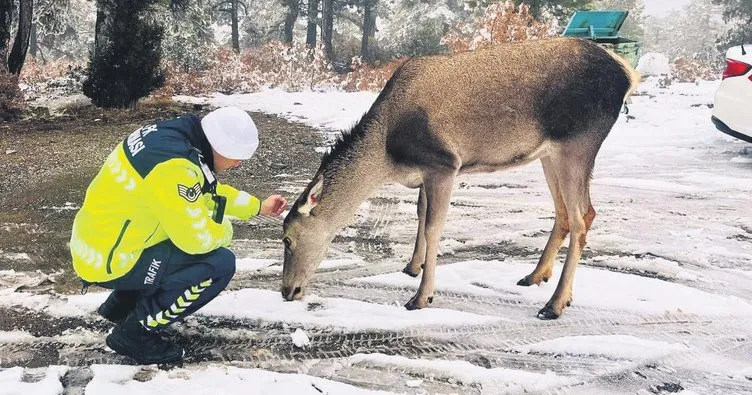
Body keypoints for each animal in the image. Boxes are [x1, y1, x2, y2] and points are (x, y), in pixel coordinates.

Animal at [280, 37, 636, 320]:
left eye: (287, 239)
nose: (286, 291)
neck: (387, 155)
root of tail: (627, 75)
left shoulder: (444, 163)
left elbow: (434, 227)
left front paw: (421, 297)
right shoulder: (425, 172)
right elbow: (420, 215)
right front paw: (412, 267)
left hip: (577, 142)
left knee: (581, 217)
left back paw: (555, 304)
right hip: (549, 154)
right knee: (568, 213)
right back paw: (535, 276)